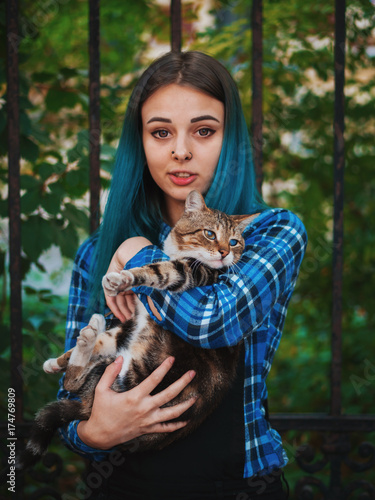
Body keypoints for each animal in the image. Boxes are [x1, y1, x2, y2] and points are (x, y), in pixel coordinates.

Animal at [17, 190, 258, 468]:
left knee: (73, 383)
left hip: (133, 374)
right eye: (209, 233)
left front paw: (123, 277)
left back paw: (88, 335)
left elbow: (157, 270)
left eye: (234, 242)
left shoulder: (192, 273)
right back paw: (83, 340)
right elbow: (106, 337)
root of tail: (89, 407)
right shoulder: (131, 320)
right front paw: (56, 361)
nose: (223, 253)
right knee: (84, 367)